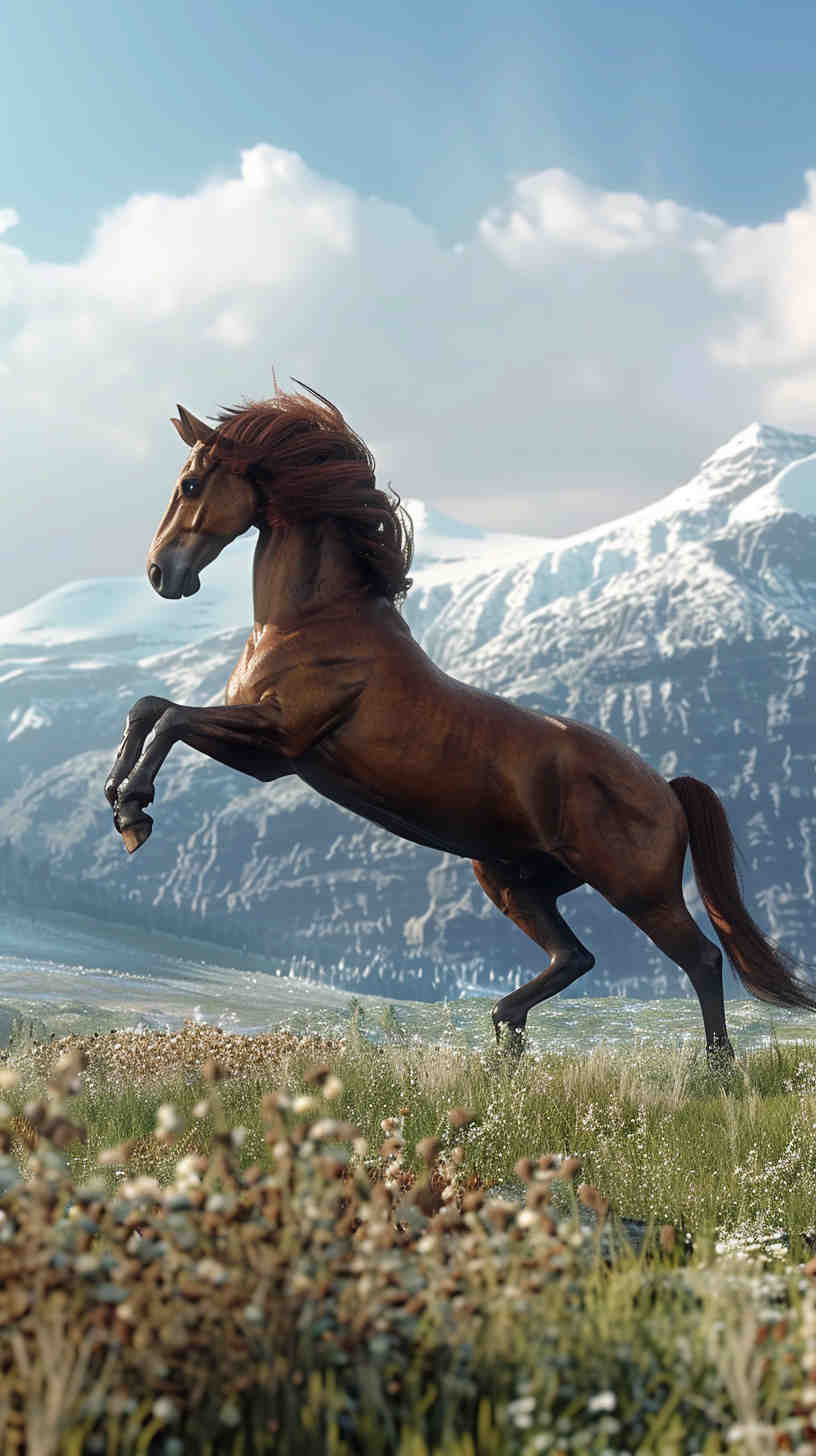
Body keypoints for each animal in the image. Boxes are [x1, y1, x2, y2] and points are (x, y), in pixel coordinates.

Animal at [105, 385, 816, 1057]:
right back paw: (506, 1032)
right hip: (509, 878)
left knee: (701, 959)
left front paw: (134, 812)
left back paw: (714, 1072)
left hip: (639, 891)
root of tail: (665, 789)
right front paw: (118, 796)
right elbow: (151, 707)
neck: (314, 620)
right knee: (575, 956)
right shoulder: (265, 751)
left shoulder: (278, 741)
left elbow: (171, 719)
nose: (161, 574)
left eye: (190, 484)